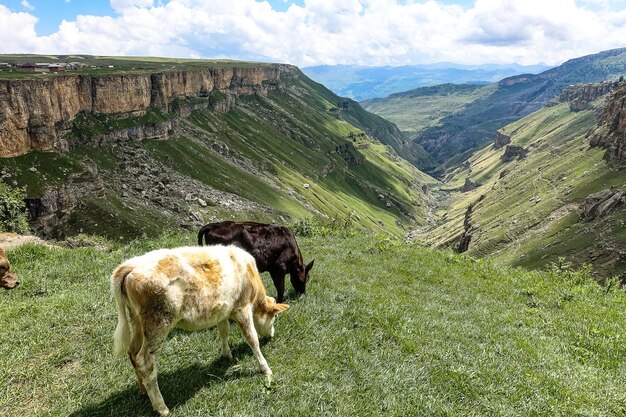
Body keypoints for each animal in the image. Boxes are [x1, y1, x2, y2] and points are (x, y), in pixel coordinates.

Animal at [111, 245, 288, 414]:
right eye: (274, 317)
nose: (271, 335)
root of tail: (130, 265)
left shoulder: (222, 311)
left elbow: (223, 331)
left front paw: (226, 354)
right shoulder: (242, 308)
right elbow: (252, 339)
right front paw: (265, 369)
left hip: (138, 322)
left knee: (132, 352)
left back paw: (143, 390)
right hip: (158, 324)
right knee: (145, 361)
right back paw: (161, 407)